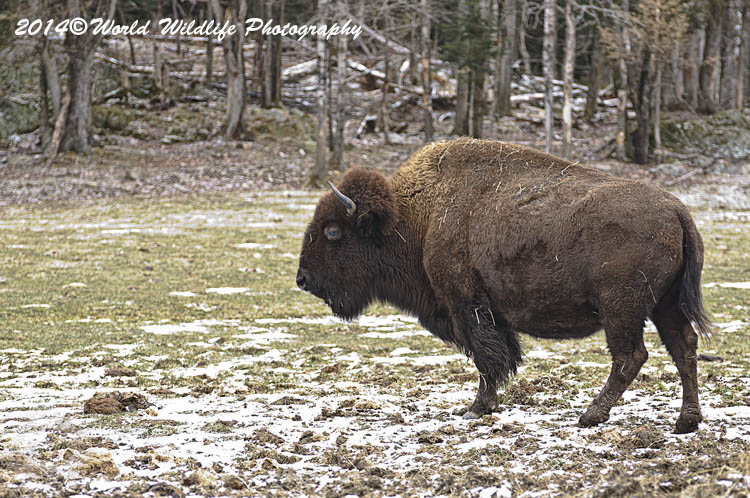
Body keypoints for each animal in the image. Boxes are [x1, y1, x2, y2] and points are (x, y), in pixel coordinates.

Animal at [297, 138, 711, 433]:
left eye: (332, 232)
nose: (303, 279)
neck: (415, 217)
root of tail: (677, 210)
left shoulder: (466, 306)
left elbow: (488, 359)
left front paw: (476, 408)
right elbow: (501, 355)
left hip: (621, 307)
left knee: (631, 355)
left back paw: (592, 415)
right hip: (664, 305)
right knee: (683, 347)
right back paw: (686, 421)